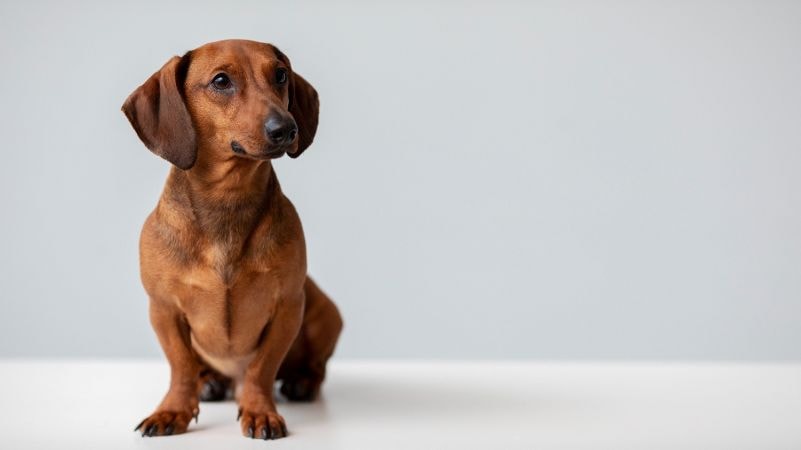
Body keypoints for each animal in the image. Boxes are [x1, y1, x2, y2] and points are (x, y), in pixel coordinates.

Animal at [122, 39, 344, 440]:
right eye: (221, 81)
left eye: (280, 75)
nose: (286, 128)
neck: (227, 200)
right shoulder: (163, 309)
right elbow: (180, 366)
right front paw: (173, 410)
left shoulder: (288, 305)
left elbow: (261, 369)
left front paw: (259, 411)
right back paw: (210, 382)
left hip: (326, 312)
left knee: (317, 367)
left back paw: (301, 383)